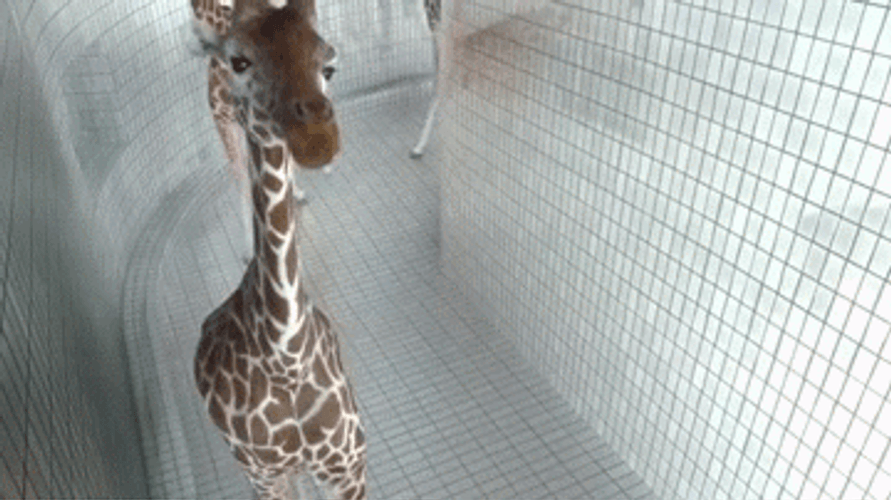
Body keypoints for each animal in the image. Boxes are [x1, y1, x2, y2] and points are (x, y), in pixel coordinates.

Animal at [191, 1, 367, 499]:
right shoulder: (264, 476)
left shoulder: (349, 465)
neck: (287, 357)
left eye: (328, 65)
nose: (318, 139)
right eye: (239, 61)